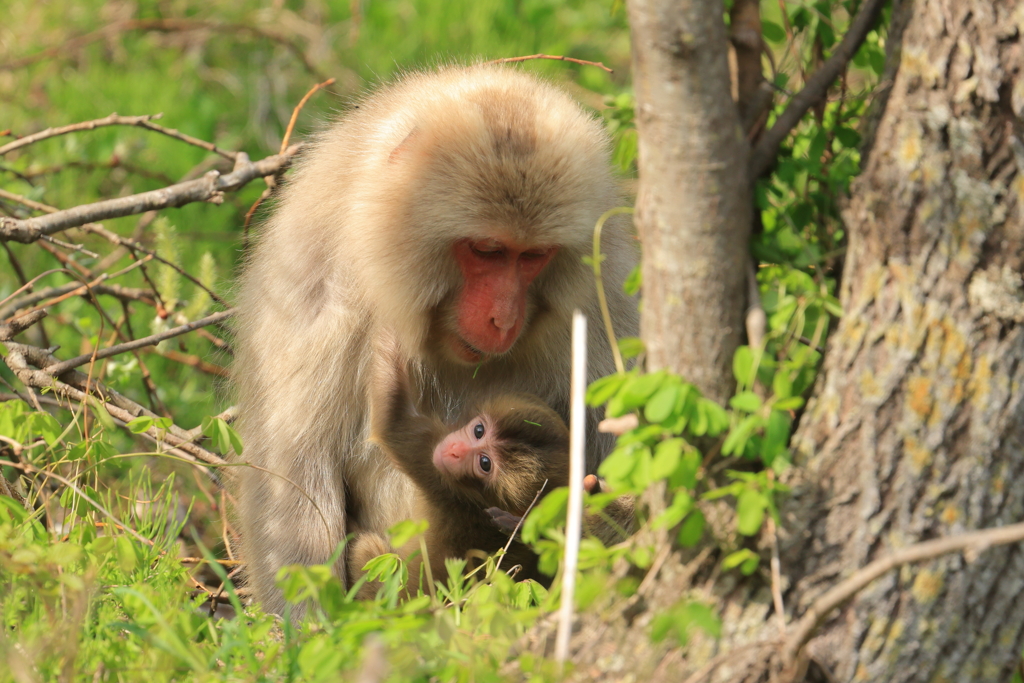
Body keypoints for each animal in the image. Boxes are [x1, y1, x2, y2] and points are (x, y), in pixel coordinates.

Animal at [348, 362, 626, 598]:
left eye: (485, 463)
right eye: (479, 430)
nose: (454, 451)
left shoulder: (434, 469)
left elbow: (393, 414)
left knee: (366, 548)